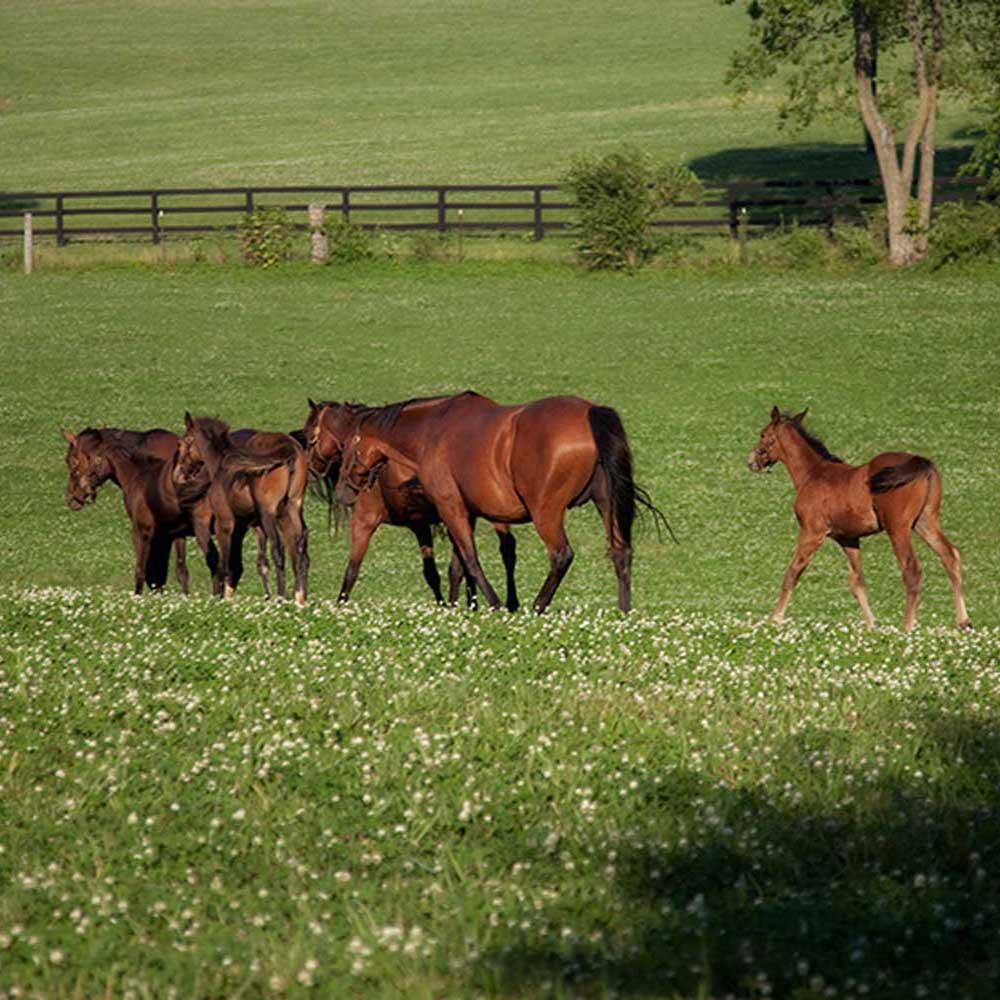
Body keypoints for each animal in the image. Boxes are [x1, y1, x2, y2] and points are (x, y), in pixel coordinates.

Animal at [174, 412, 308, 600]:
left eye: (183, 442)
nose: (179, 472)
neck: (221, 464)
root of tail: (288, 447)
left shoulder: (225, 523)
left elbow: (224, 562)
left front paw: (222, 597)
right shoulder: (248, 525)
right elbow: (248, 563)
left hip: (268, 514)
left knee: (278, 550)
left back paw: (281, 598)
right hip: (292, 510)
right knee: (299, 550)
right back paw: (299, 598)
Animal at [300, 400, 520, 604]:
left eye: (310, 436)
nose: (308, 470)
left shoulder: (365, 521)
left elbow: (351, 572)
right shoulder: (421, 525)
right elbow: (435, 573)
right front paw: (448, 606)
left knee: (503, 551)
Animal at [332, 392, 668, 612]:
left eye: (347, 447)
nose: (341, 492)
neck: (433, 431)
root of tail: (589, 412)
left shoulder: (451, 507)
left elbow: (470, 560)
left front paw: (493, 604)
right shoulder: (466, 513)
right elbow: (458, 566)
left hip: (546, 512)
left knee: (561, 555)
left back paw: (538, 605)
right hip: (606, 502)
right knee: (621, 551)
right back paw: (623, 611)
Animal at [752, 408, 968, 628]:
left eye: (763, 434)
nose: (751, 461)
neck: (813, 474)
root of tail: (920, 462)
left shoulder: (812, 532)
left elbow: (792, 572)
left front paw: (775, 618)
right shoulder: (848, 539)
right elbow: (858, 583)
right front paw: (872, 625)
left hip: (898, 528)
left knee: (912, 570)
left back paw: (907, 627)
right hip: (925, 523)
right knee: (950, 556)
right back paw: (964, 621)